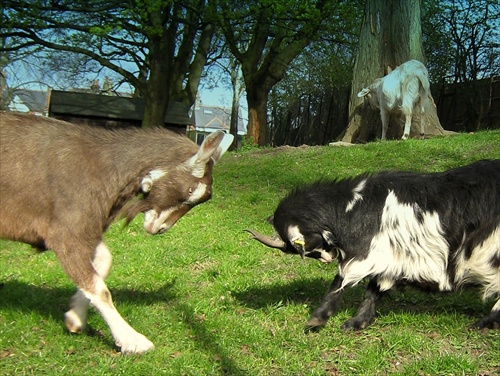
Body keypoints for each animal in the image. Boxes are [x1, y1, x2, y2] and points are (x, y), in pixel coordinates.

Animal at [0, 113, 233, 354]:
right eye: (189, 190)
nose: (159, 228)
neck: (104, 166)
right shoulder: (65, 231)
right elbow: (99, 288)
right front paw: (133, 340)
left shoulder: (87, 230)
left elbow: (104, 262)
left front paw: (75, 317)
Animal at [249, 160, 500, 330]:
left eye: (301, 247)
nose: (328, 258)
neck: (351, 207)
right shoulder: (391, 255)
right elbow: (375, 288)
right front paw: (357, 322)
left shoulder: (366, 253)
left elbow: (340, 281)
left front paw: (317, 319)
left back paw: (482, 323)